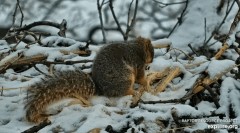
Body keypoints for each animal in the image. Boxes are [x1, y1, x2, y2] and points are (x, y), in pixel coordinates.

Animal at [25, 36, 155, 122]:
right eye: (151, 51)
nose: (152, 60)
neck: (136, 48)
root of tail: (101, 89)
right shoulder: (138, 64)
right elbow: (140, 77)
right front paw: (147, 83)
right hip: (126, 77)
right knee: (125, 91)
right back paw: (134, 92)